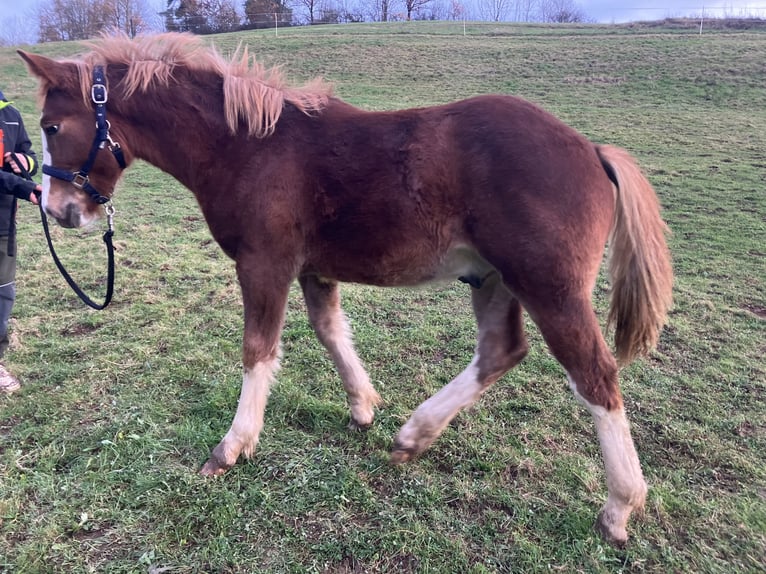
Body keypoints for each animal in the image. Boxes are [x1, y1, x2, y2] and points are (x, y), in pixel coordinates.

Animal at [19, 33, 672, 548]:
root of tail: (591, 150)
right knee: (501, 351)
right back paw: (414, 435)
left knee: (595, 376)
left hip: (549, 286)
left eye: (52, 125)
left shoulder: (264, 263)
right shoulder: (312, 269)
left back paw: (619, 507)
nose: (58, 210)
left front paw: (231, 448)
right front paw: (364, 408)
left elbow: (258, 350)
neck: (248, 146)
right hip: (493, 279)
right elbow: (330, 331)